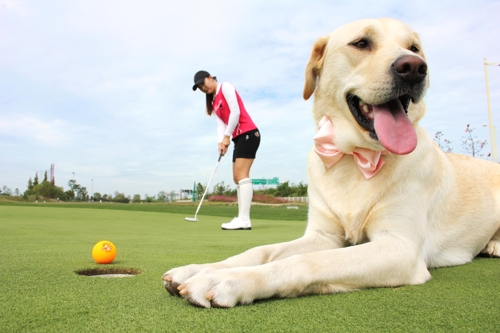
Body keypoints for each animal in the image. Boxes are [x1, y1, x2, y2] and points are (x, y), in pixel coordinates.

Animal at [163, 18, 500, 306]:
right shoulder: (322, 236)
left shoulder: (399, 247)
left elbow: (306, 261)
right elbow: (262, 250)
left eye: (414, 47)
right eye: (361, 43)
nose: (415, 67)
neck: (356, 157)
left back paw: (494, 244)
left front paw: (229, 279)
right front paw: (201, 268)